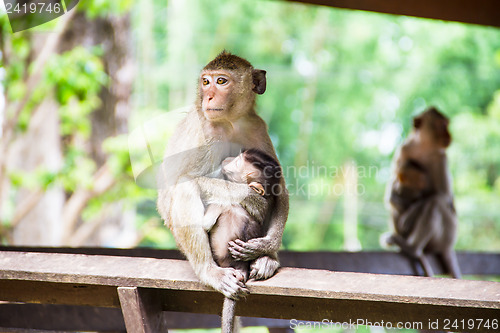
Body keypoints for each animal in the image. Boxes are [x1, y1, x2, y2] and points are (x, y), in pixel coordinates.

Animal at [156, 50, 290, 300]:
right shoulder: (205, 133)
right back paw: (208, 270)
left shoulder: (256, 126)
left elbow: (280, 188)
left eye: (221, 81)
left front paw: (266, 246)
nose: (208, 97)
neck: (229, 121)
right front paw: (248, 196)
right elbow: (182, 181)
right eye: (205, 82)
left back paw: (266, 259)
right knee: (186, 187)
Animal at [386, 107, 460, 278]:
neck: (424, 147)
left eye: (446, 124)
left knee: (435, 204)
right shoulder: (404, 149)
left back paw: (412, 248)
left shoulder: (441, 157)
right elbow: (392, 187)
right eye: (442, 125)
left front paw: (412, 213)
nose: (449, 134)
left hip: (448, 233)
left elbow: (443, 195)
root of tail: (448, 247)